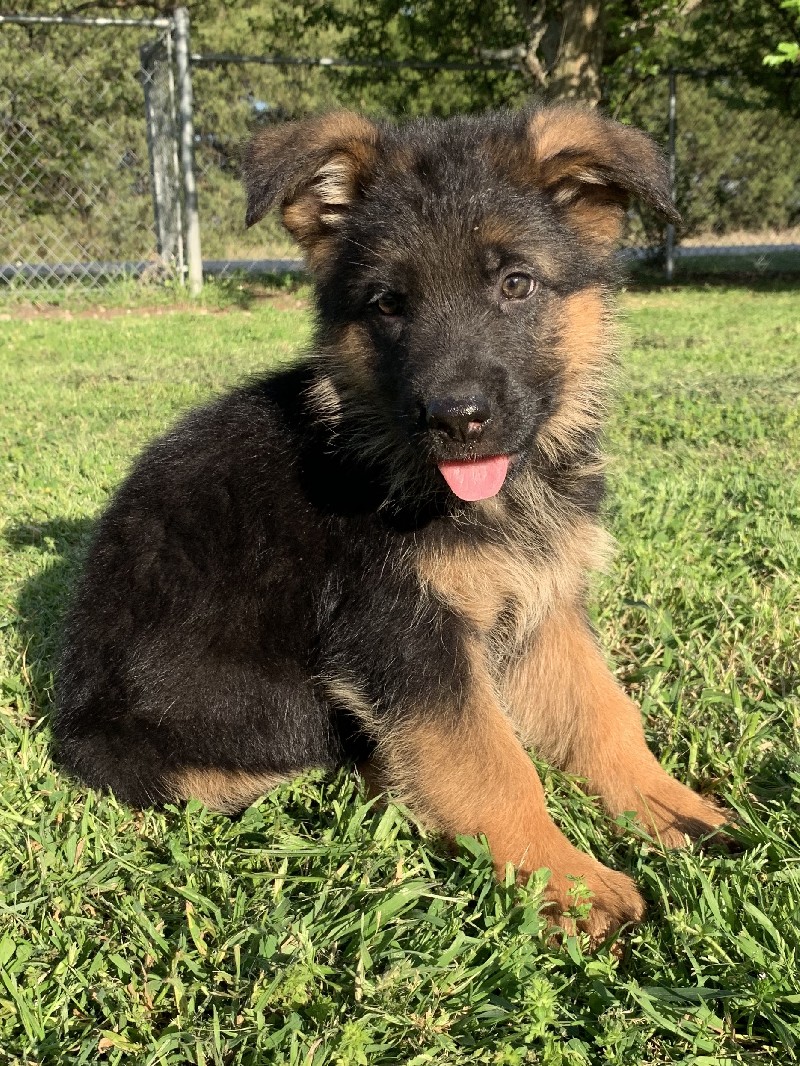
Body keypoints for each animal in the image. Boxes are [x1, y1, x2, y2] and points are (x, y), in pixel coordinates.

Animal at [54, 108, 725, 938]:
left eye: (515, 284)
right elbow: (495, 763)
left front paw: (672, 809)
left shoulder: (543, 605)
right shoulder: (401, 636)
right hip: (271, 699)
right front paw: (564, 879)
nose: (457, 419)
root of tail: (78, 729)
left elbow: (603, 714)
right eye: (386, 304)